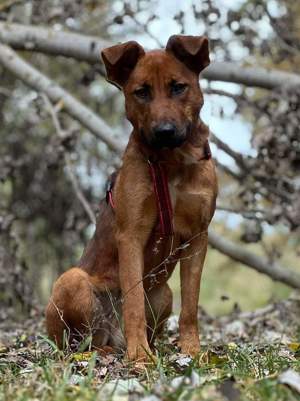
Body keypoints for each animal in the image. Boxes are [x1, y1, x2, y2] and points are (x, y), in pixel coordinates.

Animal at [45, 35, 217, 360]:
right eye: (142, 92)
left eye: (178, 87)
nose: (164, 132)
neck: (171, 163)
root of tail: (113, 336)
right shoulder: (131, 235)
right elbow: (134, 302)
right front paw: (140, 357)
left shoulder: (197, 237)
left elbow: (191, 305)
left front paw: (192, 349)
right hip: (72, 281)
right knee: (80, 343)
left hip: (164, 294)